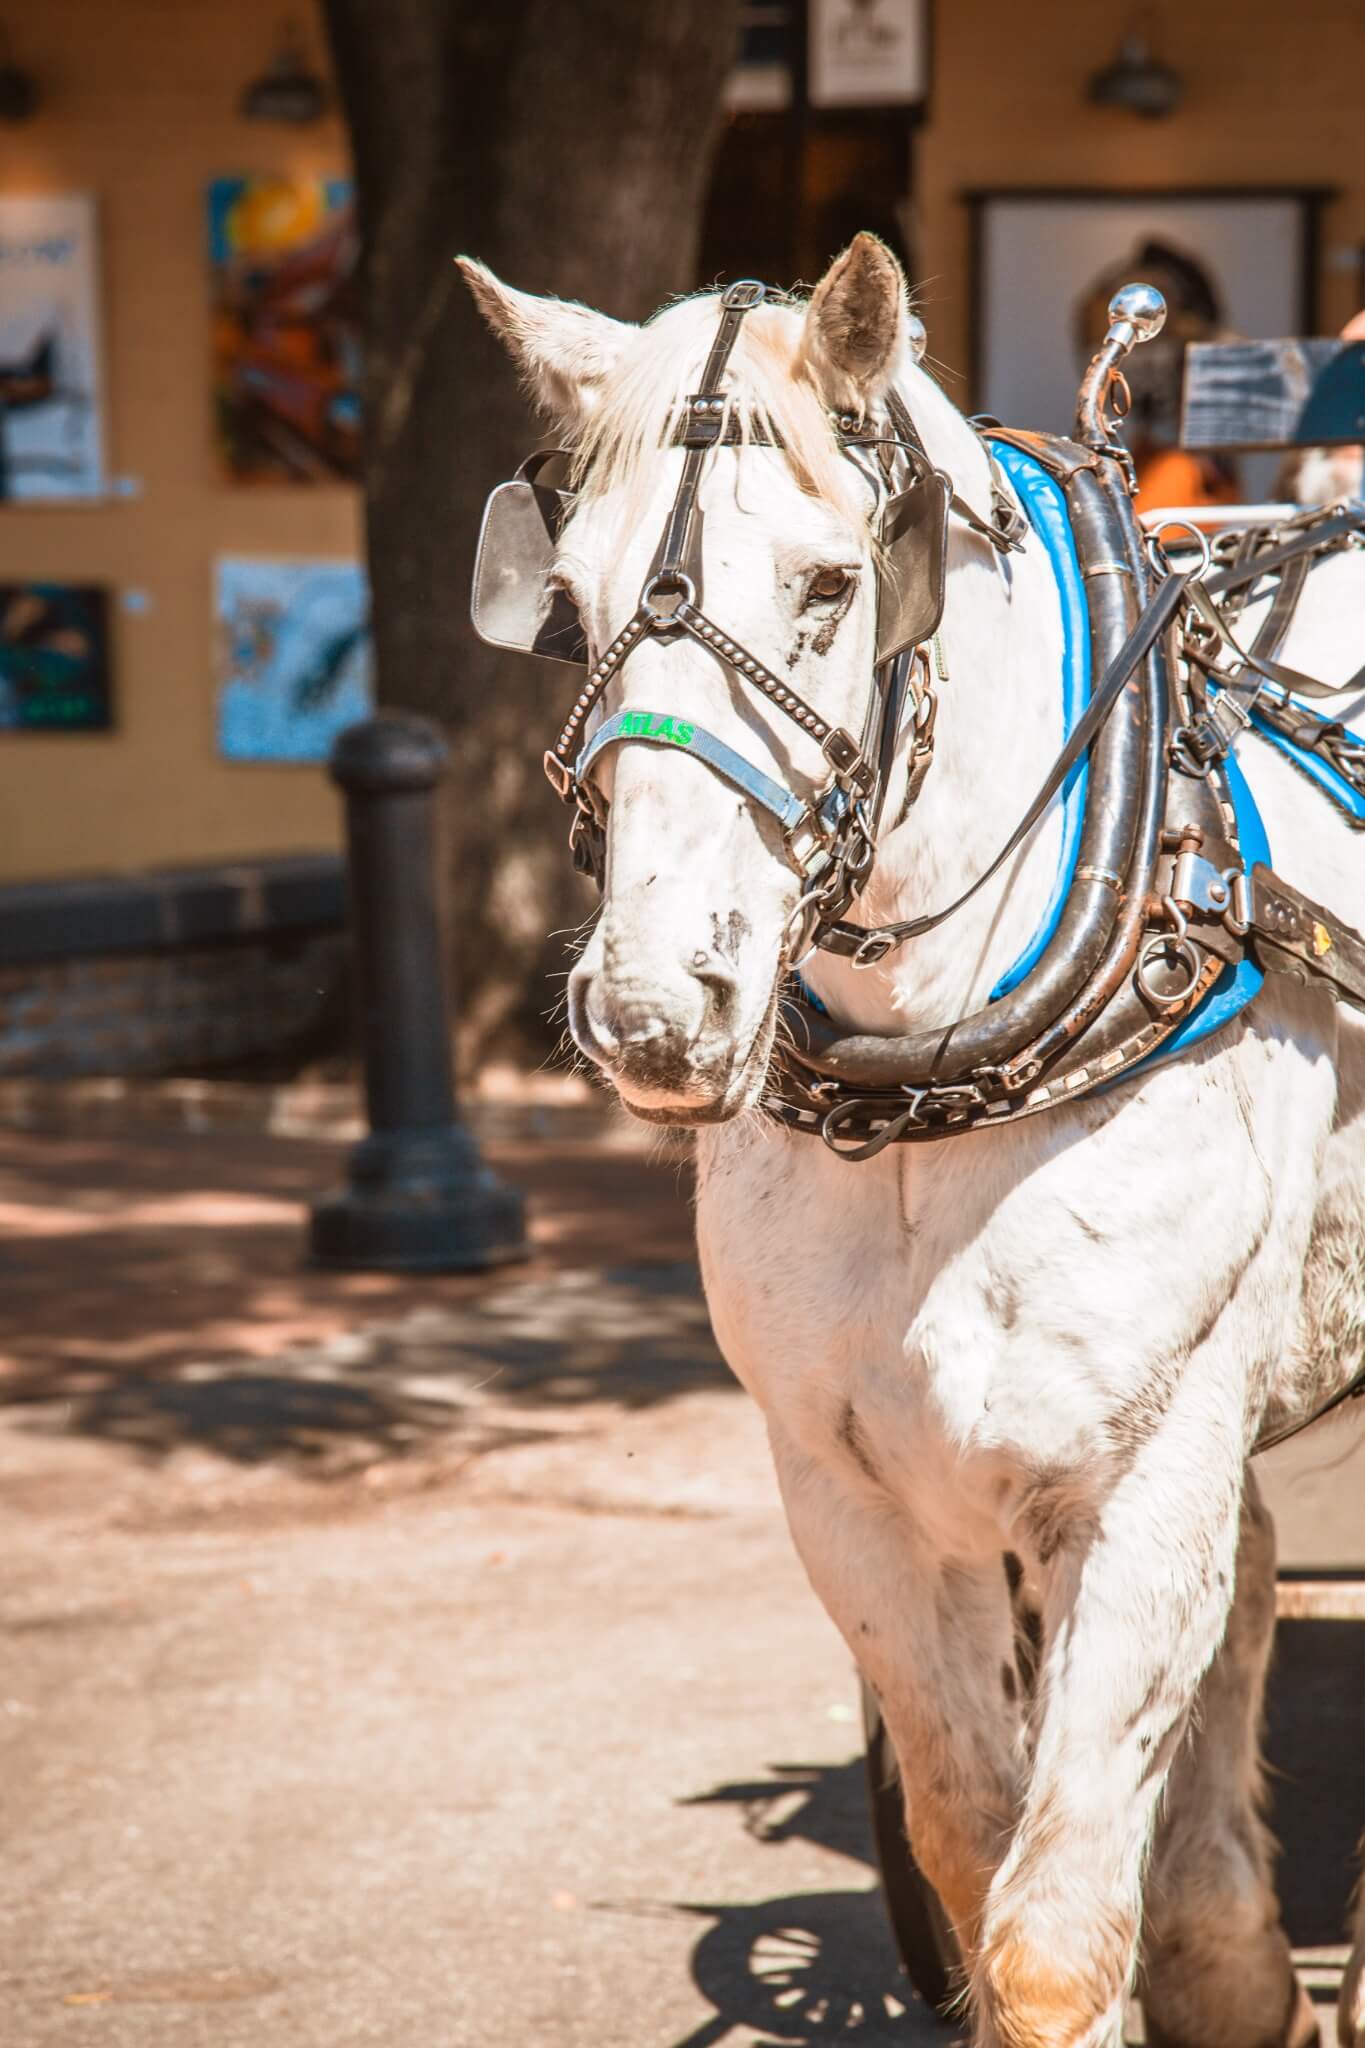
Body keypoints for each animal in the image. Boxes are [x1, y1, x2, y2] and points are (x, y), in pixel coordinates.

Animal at [460, 233, 1365, 2048]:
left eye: (826, 587)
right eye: (570, 607)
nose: (652, 1008)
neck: (934, 1088)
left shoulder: (1142, 1482)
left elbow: (1054, 1927)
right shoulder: (852, 1497)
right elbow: (968, 1849)